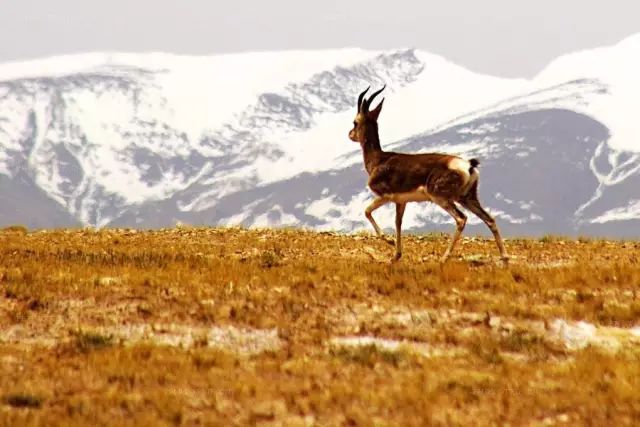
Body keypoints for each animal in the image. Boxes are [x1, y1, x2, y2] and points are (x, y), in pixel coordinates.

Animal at [350, 85, 510, 266]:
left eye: (355, 122)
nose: (350, 134)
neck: (379, 159)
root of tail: (468, 165)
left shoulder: (385, 196)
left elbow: (367, 211)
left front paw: (388, 241)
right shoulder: (401, 202)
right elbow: (398, 223)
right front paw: (396, 256)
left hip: (441, 198)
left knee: (461, 219)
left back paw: (443, 258)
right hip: (467, 198)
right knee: (490, 219)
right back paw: (505, 259)